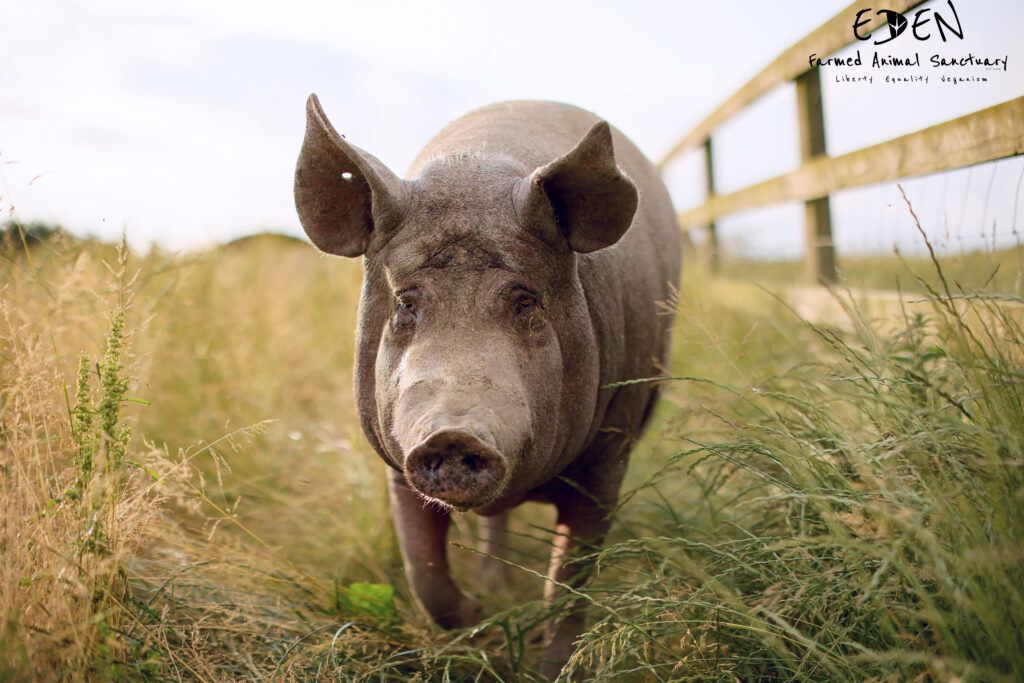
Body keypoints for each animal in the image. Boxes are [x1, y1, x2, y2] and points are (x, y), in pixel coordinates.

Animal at [294, 94, 681, 677]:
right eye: (405, 303)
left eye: (526, 301)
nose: (454, 434)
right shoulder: (396, 461)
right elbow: (423, 572)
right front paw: (482, 623)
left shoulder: (609, 455)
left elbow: (569, 584)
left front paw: (551, 665)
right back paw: (491, 585)